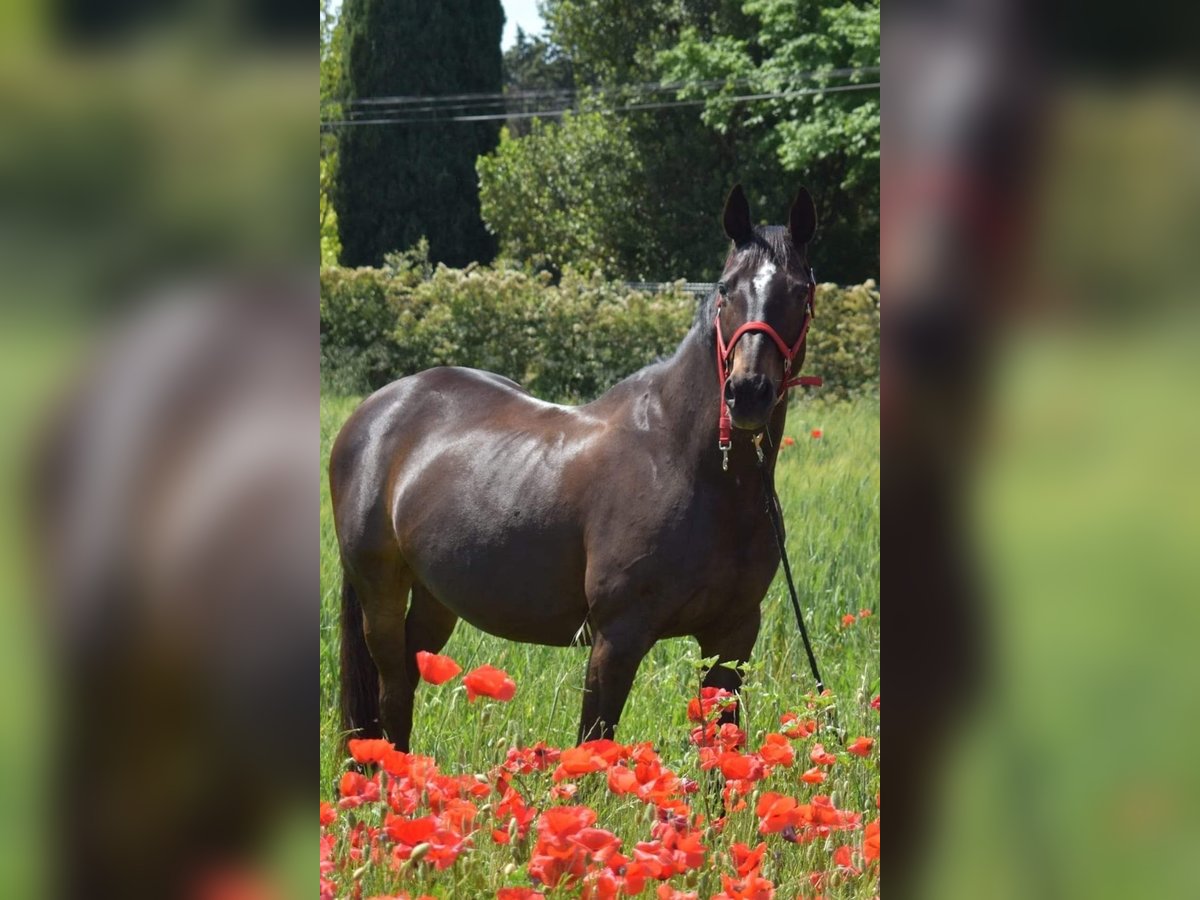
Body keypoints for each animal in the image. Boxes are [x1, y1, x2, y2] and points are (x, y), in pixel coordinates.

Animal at [333, 187, 820, 748]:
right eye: (725, 289)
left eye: (801, 290)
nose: (747, 393)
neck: (690, 468)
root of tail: (378, 409)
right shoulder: (617, 637)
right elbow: (594, 745)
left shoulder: (733, 636)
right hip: (381, 595)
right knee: (391, 697)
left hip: (435, 597)